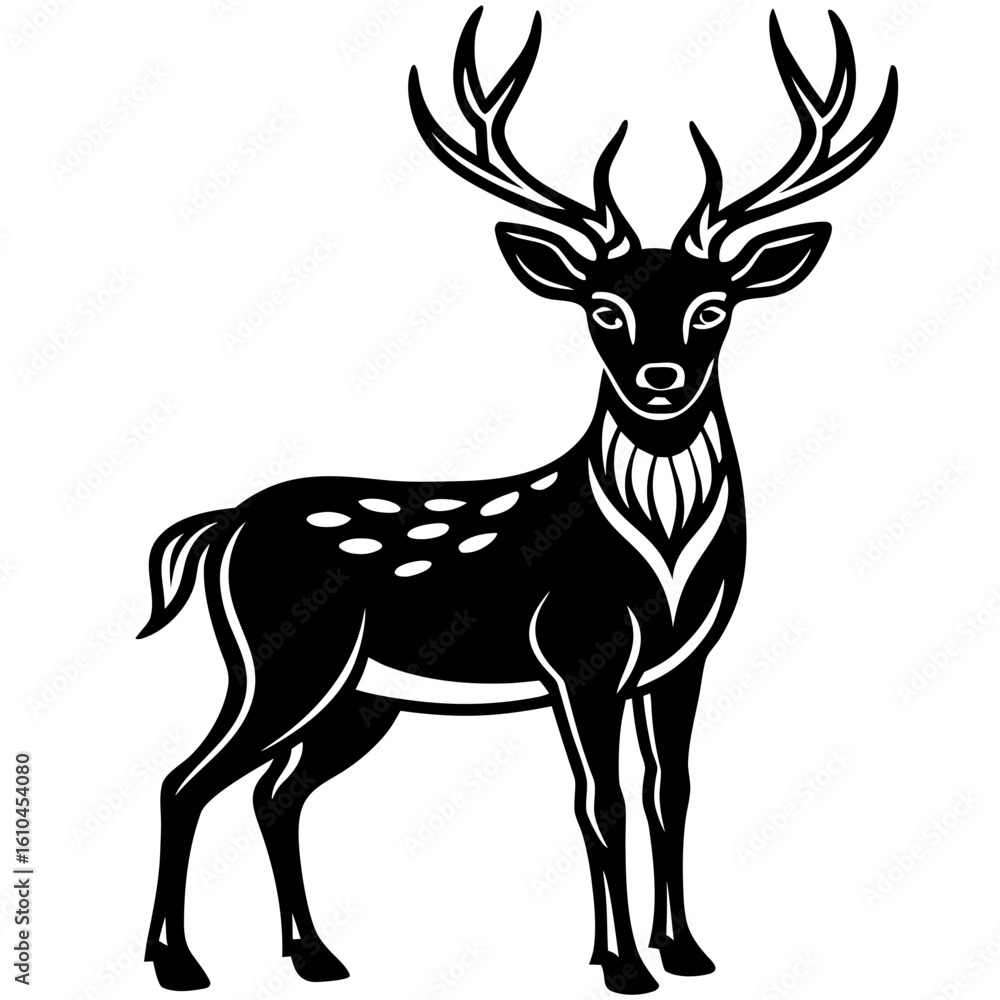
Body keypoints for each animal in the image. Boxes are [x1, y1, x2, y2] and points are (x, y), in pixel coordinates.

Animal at [138, 7, 896, 994]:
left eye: (713, 306)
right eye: (603, 308)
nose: (659, 381)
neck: (659, 557)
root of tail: (223, 524)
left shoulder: (684, 660)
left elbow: (671, 792)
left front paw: (684, 951)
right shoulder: (578, 649)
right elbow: (600, 800)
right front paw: (624, 965)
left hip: (359, 697)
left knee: (275, 790)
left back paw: (315, 955)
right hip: (283, 659)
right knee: (186, 779)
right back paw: (178, 961)